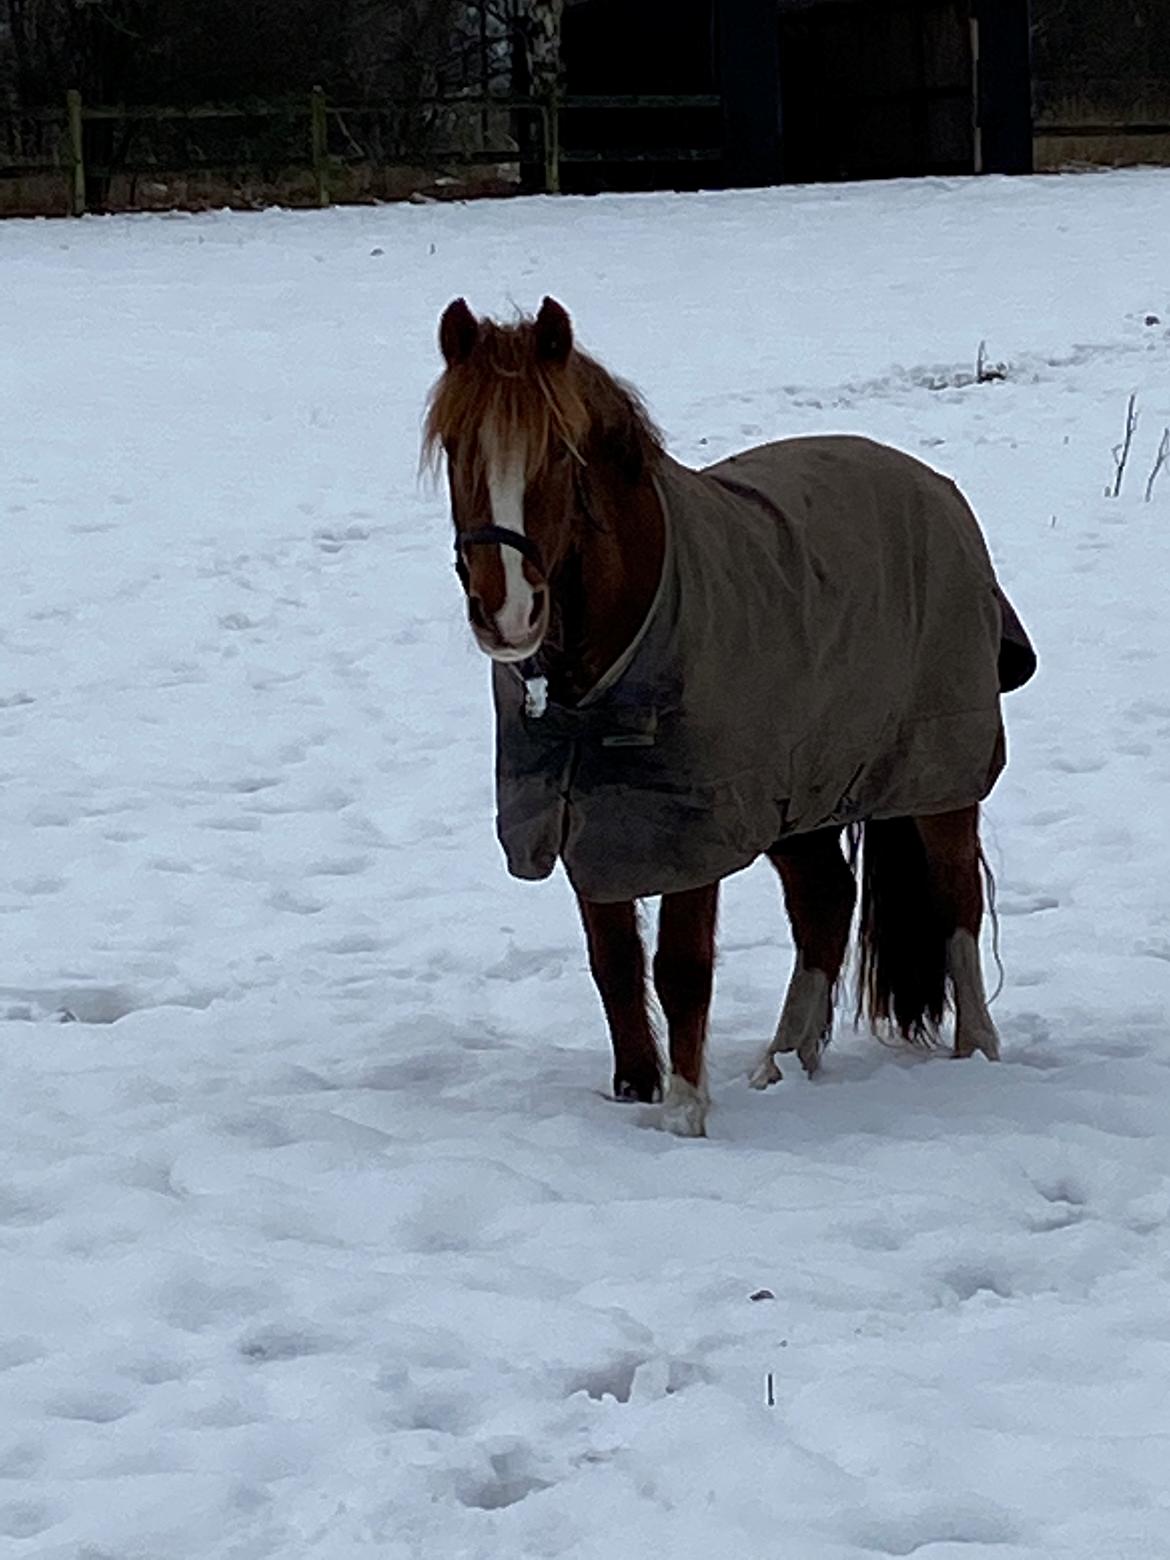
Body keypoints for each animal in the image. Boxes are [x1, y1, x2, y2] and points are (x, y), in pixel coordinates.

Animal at [427, 297, 1042, 1141]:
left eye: (558, 454)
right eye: (457, 447)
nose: (508, 612)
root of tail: (932, 486)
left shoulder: (697, 827)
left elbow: (679, 966)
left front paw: (685, 1111)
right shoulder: (586, 819)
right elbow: (614, 964)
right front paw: (635, 1092)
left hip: (938, 770)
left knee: (955, 902)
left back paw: (975, 1049)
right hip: (802, 789)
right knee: (826, 903)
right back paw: (782, 1063)